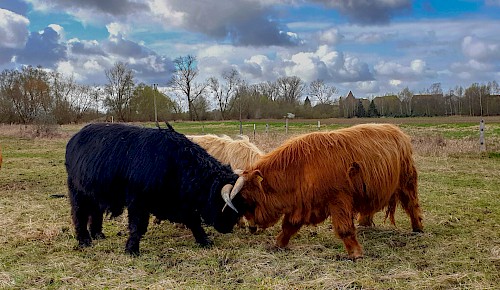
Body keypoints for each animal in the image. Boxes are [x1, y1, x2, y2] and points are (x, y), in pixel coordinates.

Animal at [225, 123, 424, 260]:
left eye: (247, 199)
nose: (251, 227)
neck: (300, 169)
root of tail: (398, 132)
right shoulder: (302, 204)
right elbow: (289, 226)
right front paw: (278, 244)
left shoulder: (339, 200)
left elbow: (344, 229)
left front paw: (356, 253)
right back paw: (365, 223)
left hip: (406, 182)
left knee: (412, 205)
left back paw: (418, 229)